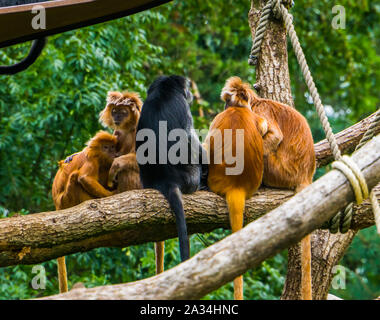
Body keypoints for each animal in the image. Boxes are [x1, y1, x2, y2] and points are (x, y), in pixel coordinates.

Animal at [51, 131, 117, 292]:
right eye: (106, 147)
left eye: (112, 147)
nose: (112, 153)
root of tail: (57, 205)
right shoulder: (92, 160)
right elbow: (84, 178)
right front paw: (112, 194)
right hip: (66, 200)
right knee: (75, 176)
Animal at [136, 75, 208, 270]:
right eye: (187, 89)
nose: (190, 93)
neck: (163, 91)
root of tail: (166, 180)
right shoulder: (183, 106)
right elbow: (191, 137)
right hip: (192, 176)